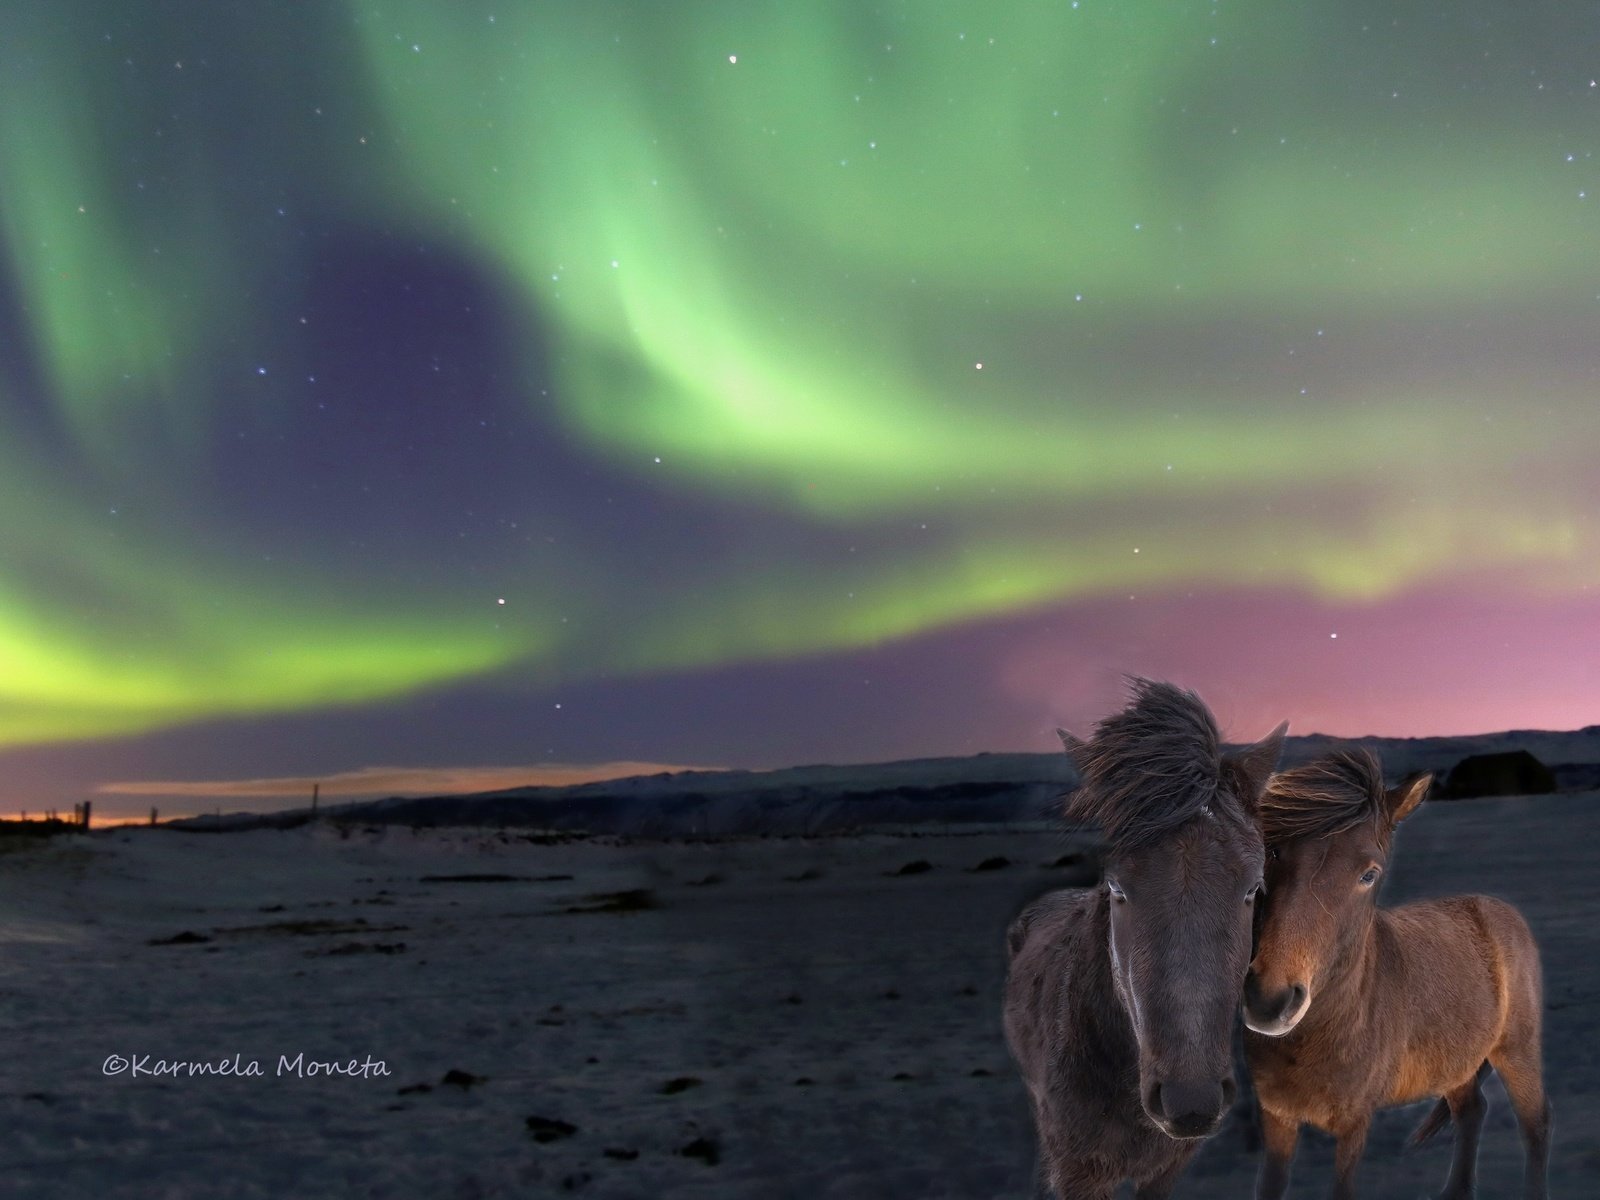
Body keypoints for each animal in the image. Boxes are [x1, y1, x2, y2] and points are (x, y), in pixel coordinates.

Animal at [1235, 752, 1548, 1200]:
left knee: (1535, 1124)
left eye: (1369, 874)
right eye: (1270, 853)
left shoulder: (1354, 1123)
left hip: (1517, 1051)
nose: (1269, 1001)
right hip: (1456, 1064)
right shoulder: (1277, 1118)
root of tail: (1499, 908)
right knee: (1471, 1110)